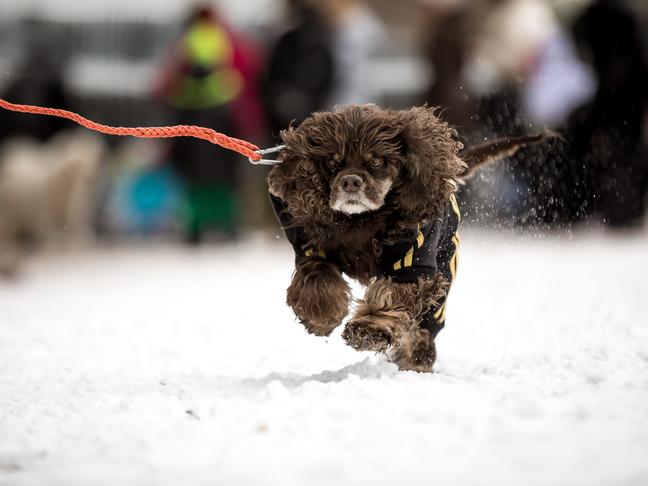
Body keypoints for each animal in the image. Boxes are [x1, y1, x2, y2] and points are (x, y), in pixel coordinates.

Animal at [0, 130, 105, 278]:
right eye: (77, 163)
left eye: (96, 158)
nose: (92, 178)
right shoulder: (46, 220)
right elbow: (51, 242)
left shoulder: (73, 216)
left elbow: (77, 239)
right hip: (13, 219)